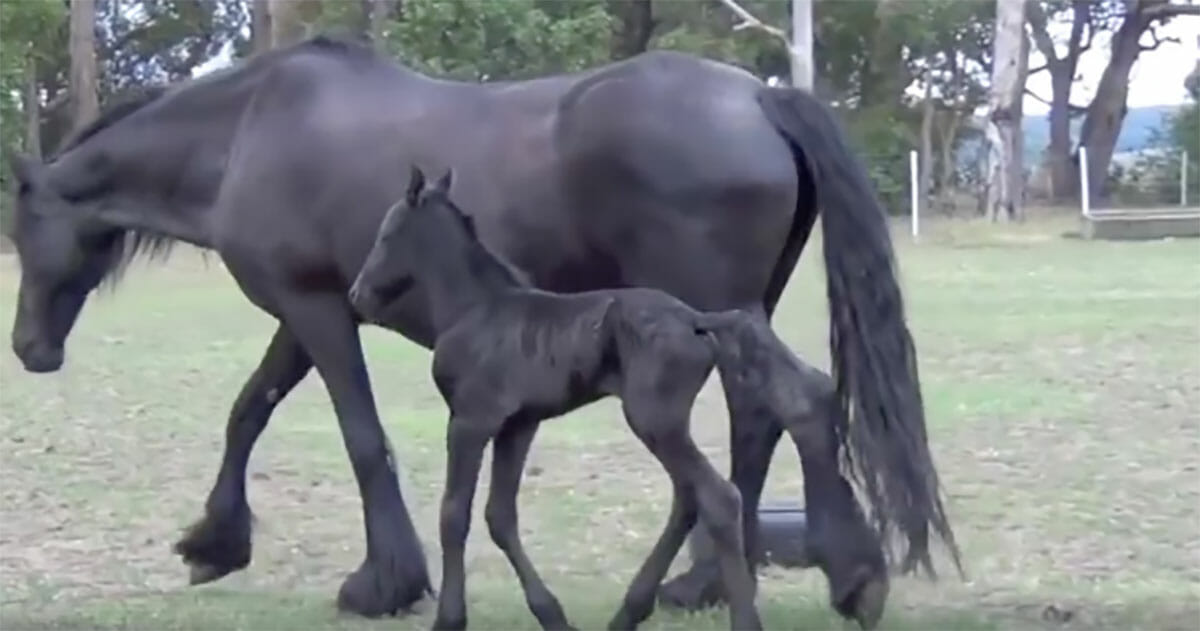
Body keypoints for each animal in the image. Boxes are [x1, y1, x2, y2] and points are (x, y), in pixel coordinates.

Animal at [350, 167, 768, 631]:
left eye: (386, 235)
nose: (357, 295)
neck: (474, 309)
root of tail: (696, 320)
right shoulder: (517, 427)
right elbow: (500, 516)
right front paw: (552, 616)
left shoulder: (469, 422)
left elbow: (453, 514)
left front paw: (449, 620)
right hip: (667, 424)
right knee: (687, 497)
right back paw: (628, 612)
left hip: (653, 419)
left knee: (718, 497)